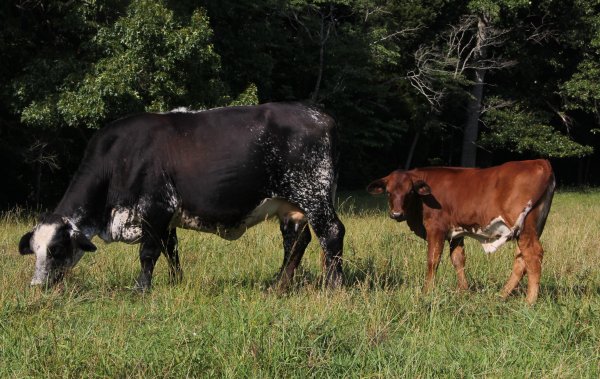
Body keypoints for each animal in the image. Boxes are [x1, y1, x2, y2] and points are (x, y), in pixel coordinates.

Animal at [18, 103, 344, 290]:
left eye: (56, 248)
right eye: (34, 249)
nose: (36, 285)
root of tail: (320, 116)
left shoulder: (156, 207)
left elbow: (148, 253)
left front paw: (141, 289)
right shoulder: (166, 218)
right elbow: (171, 251)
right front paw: (176, 282)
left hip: (314, 194)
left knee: (331, 233)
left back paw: (334, 285)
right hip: (290, 206)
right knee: (297, 241)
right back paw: (279, 284)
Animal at [368, 160, 556, 306]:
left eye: (410, 192)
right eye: (389, 192)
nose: (396, 214)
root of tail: (540, 162)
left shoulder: (436, 229)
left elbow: (433, 260)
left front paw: (427, 291)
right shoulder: (456, 233)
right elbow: (458, 259)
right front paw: (463, 291)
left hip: (525, 227)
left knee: (532, 255)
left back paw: (530, 301)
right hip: (532, 228)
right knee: (521, 259)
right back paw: (502, 295)